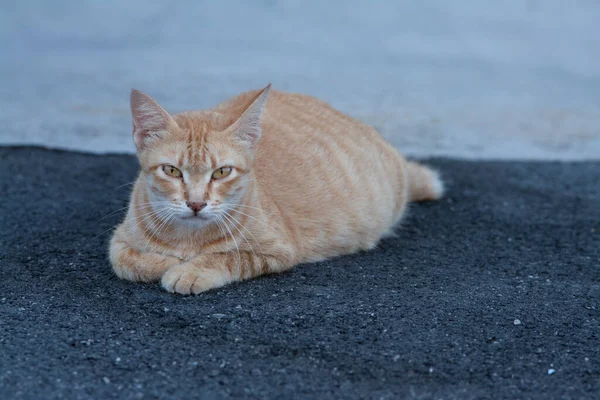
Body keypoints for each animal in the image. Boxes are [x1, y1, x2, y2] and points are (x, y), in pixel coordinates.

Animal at [109, 83, 446, 294]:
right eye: (171, 170)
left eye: (221, 172)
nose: (195, 203)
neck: (188, 238)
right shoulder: (118, 242)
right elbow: (128, 261)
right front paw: (167, 263)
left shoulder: (279, 250)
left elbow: (229, 257)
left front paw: (189, 270)